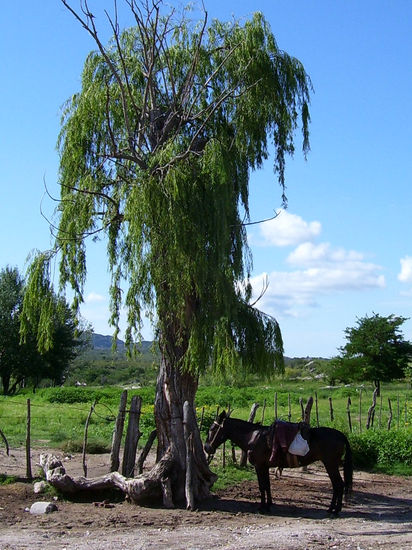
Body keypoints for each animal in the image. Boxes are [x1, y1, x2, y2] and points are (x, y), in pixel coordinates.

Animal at [204, 414, 352, 516]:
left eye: (213, 428)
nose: (206, 447)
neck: (253, 438)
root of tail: (341, 435)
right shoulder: (264, 467)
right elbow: (267, 486)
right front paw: (269, 505)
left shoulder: (259, 466)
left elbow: (262, 486)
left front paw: (262, 507)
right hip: (331, 465)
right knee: (337, 485)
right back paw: (332, 509)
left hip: (330, 464)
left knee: (338, 485)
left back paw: (334, 510)